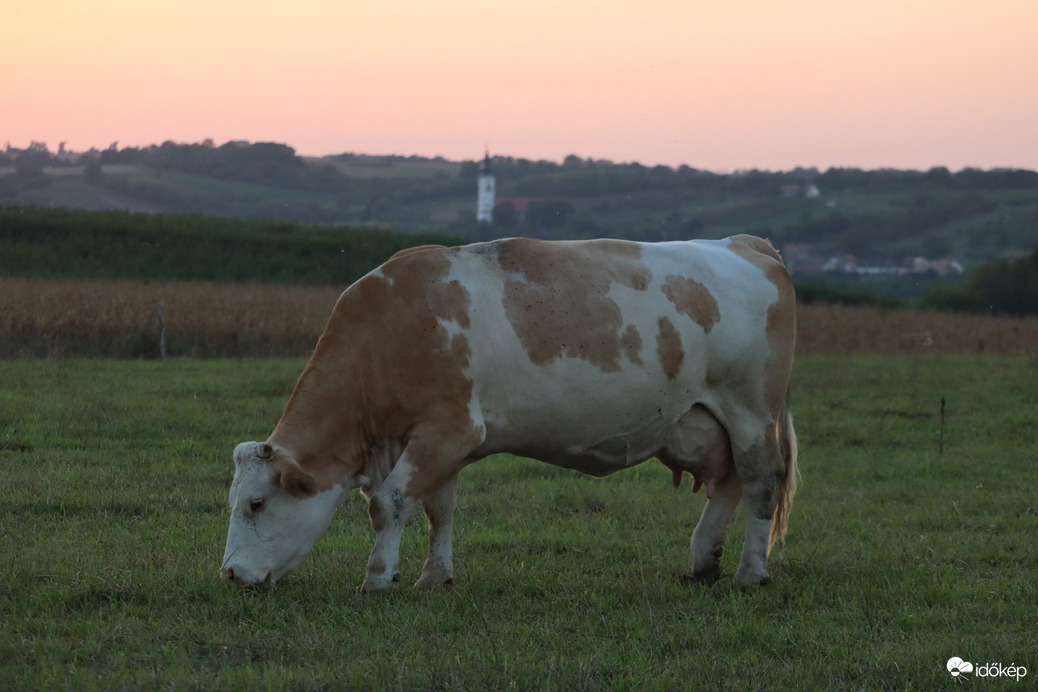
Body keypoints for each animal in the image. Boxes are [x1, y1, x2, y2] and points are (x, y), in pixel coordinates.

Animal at [223, 235, 797, 593]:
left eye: (256, 503)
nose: (230, 574)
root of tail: (744, 243)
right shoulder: (437, 444)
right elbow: (438, 510)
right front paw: (434, 576)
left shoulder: (447, 431)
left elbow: (388, 504)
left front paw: (378, 577)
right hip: (706, 421)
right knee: (729, 482)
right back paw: (703, 562)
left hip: (751, 411)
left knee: (761, 483)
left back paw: (751, 574)